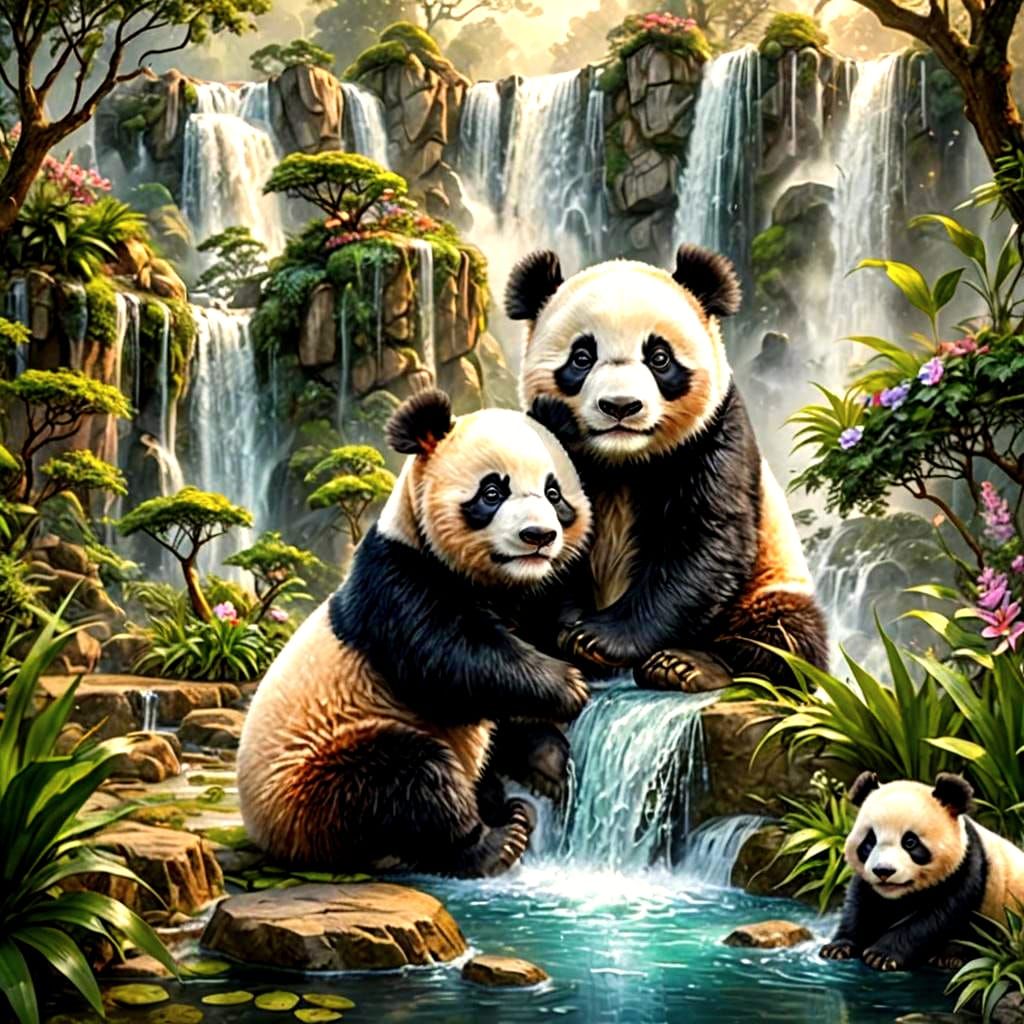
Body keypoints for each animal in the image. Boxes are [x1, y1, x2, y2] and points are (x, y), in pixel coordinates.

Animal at [238, 389, 592, 878]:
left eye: (553, 492)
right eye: (493, 492)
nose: (538, 535)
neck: (495, 581)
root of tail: (269, 835)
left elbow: (500, 701)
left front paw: (549, 759)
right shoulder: (396, 579)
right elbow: (449, 658)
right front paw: (568, 686)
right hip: (318, 775)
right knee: (408, 781)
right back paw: (495, 840)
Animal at [505, 243, 829, 690]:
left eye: (659, 357)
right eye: (582, 357)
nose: (620, 406)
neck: (621, 459)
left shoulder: (715, 435)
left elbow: (704, 541)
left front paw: (597, 637)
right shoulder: (544, 441)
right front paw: (571, 632)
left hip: (767, 584)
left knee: (783, 634)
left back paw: (687, 665)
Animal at [821, 772, 1024, 971]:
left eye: (910, 842)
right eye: (869, 841)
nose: (883, 870)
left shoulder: (967, 869)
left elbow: (936, 918)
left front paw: (881, 955)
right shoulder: (867, 882)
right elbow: (859, 906)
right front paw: (838, 947)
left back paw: (949, 957)